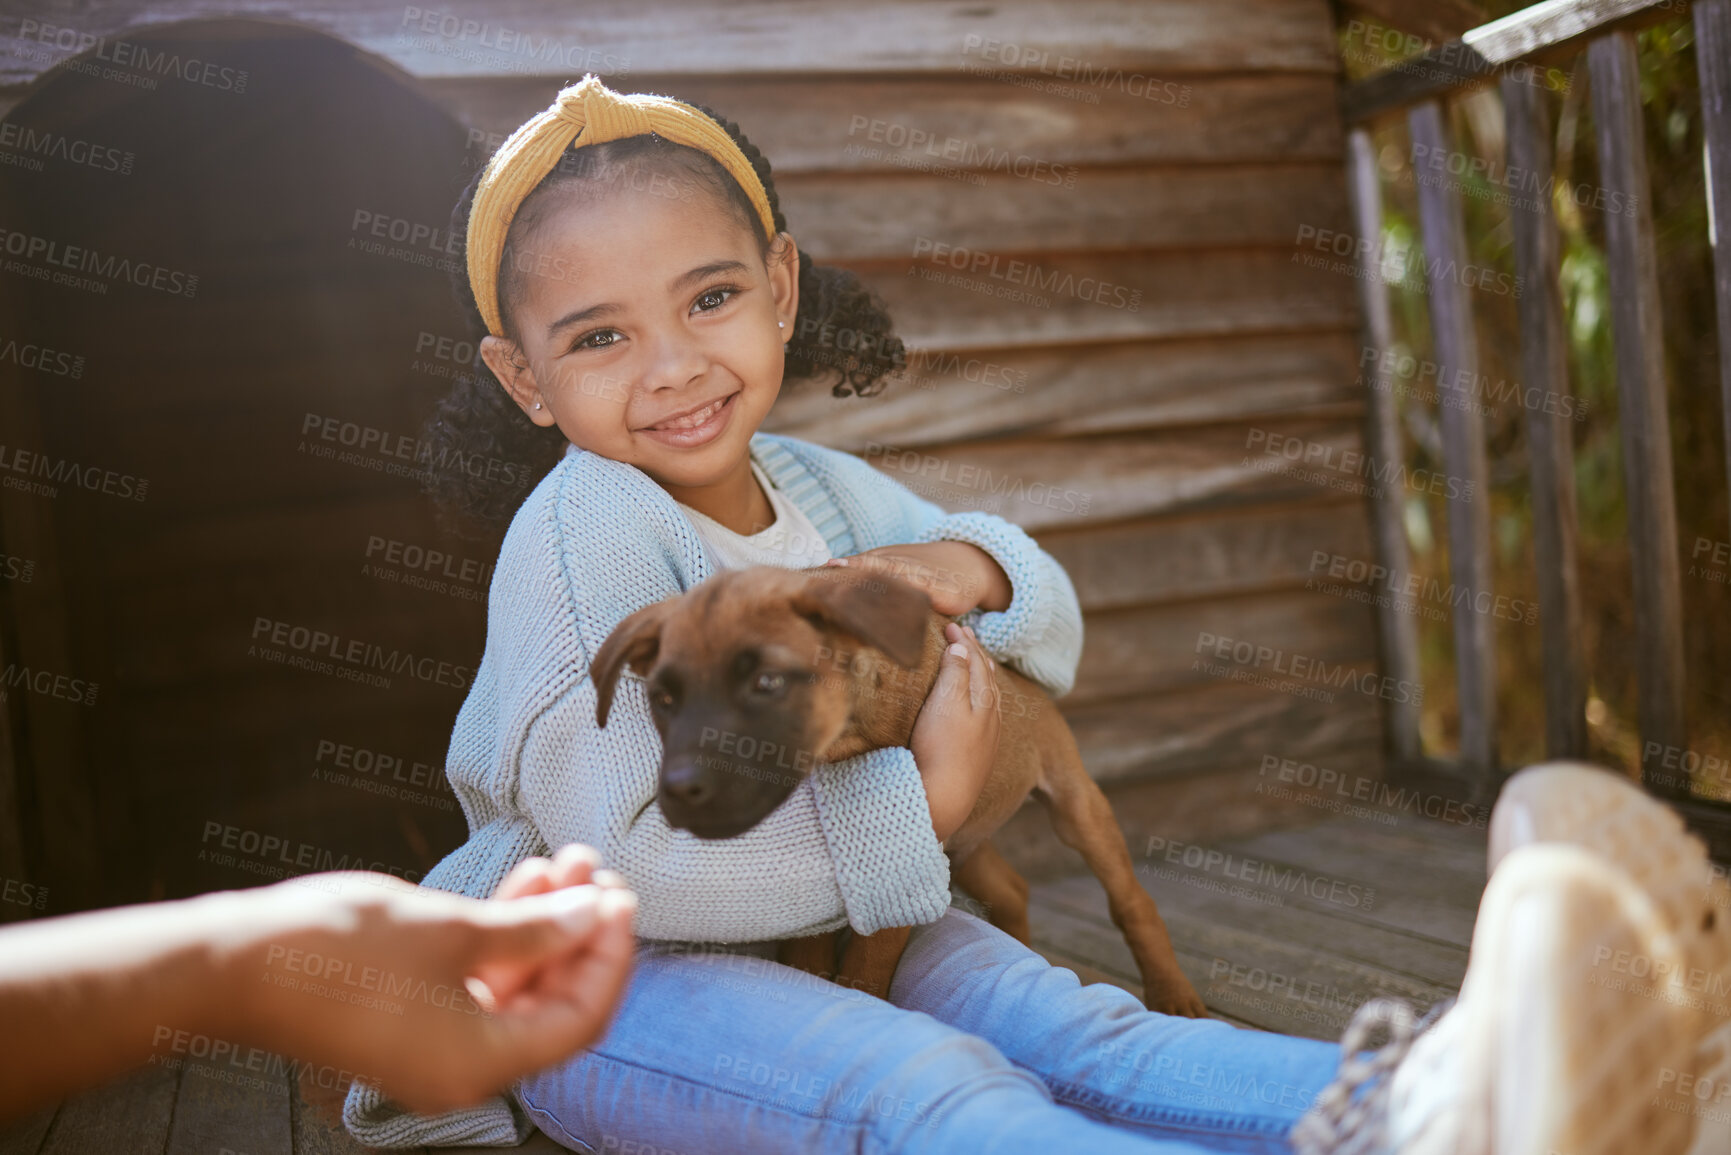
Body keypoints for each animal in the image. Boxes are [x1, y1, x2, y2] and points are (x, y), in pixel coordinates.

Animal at [588, 564, 1211, 1018]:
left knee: (1131, 901)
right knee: (1012, 889)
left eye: (767, 683)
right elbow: (809, 951)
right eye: (663, 699)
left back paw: (1173, 993)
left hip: (1075, 805)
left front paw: (861, 999)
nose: (679, 789)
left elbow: (866, 967)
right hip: (963, 843)